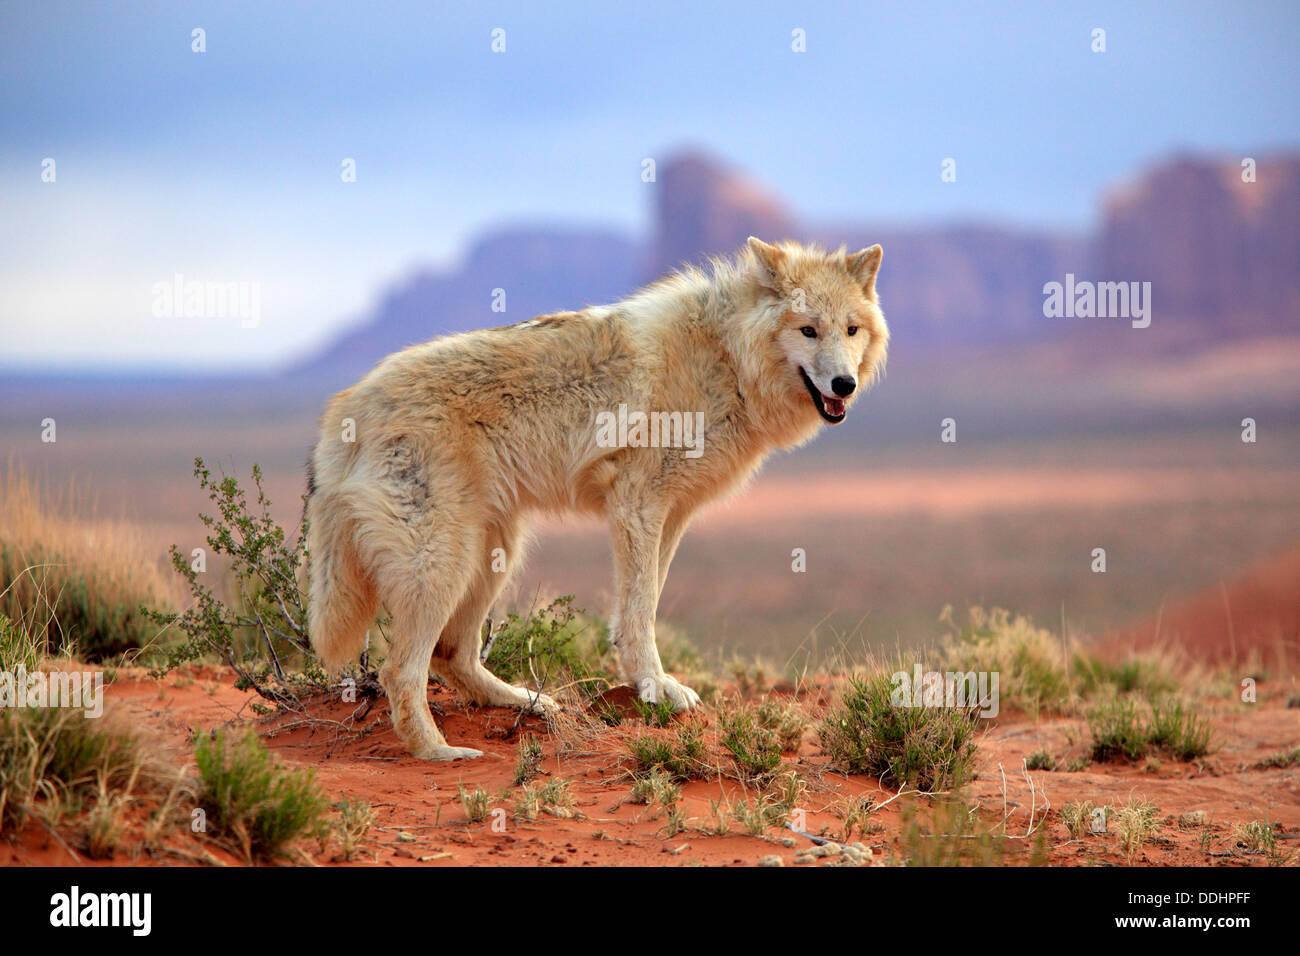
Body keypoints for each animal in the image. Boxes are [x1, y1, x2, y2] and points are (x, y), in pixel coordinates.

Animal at [309, 239, 889, 764]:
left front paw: (648, 682)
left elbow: (642, 603)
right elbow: (641, 611)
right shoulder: (638, 502)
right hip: (442, 564)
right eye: (808, 329)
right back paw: (437, 751)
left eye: (851, 330)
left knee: (453, 655)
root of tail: (347, 405)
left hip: (493, 553)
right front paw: (655, 686)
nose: (844, 384)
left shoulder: (671, 513)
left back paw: (524, 703)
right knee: (399, 669)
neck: (726, 358)